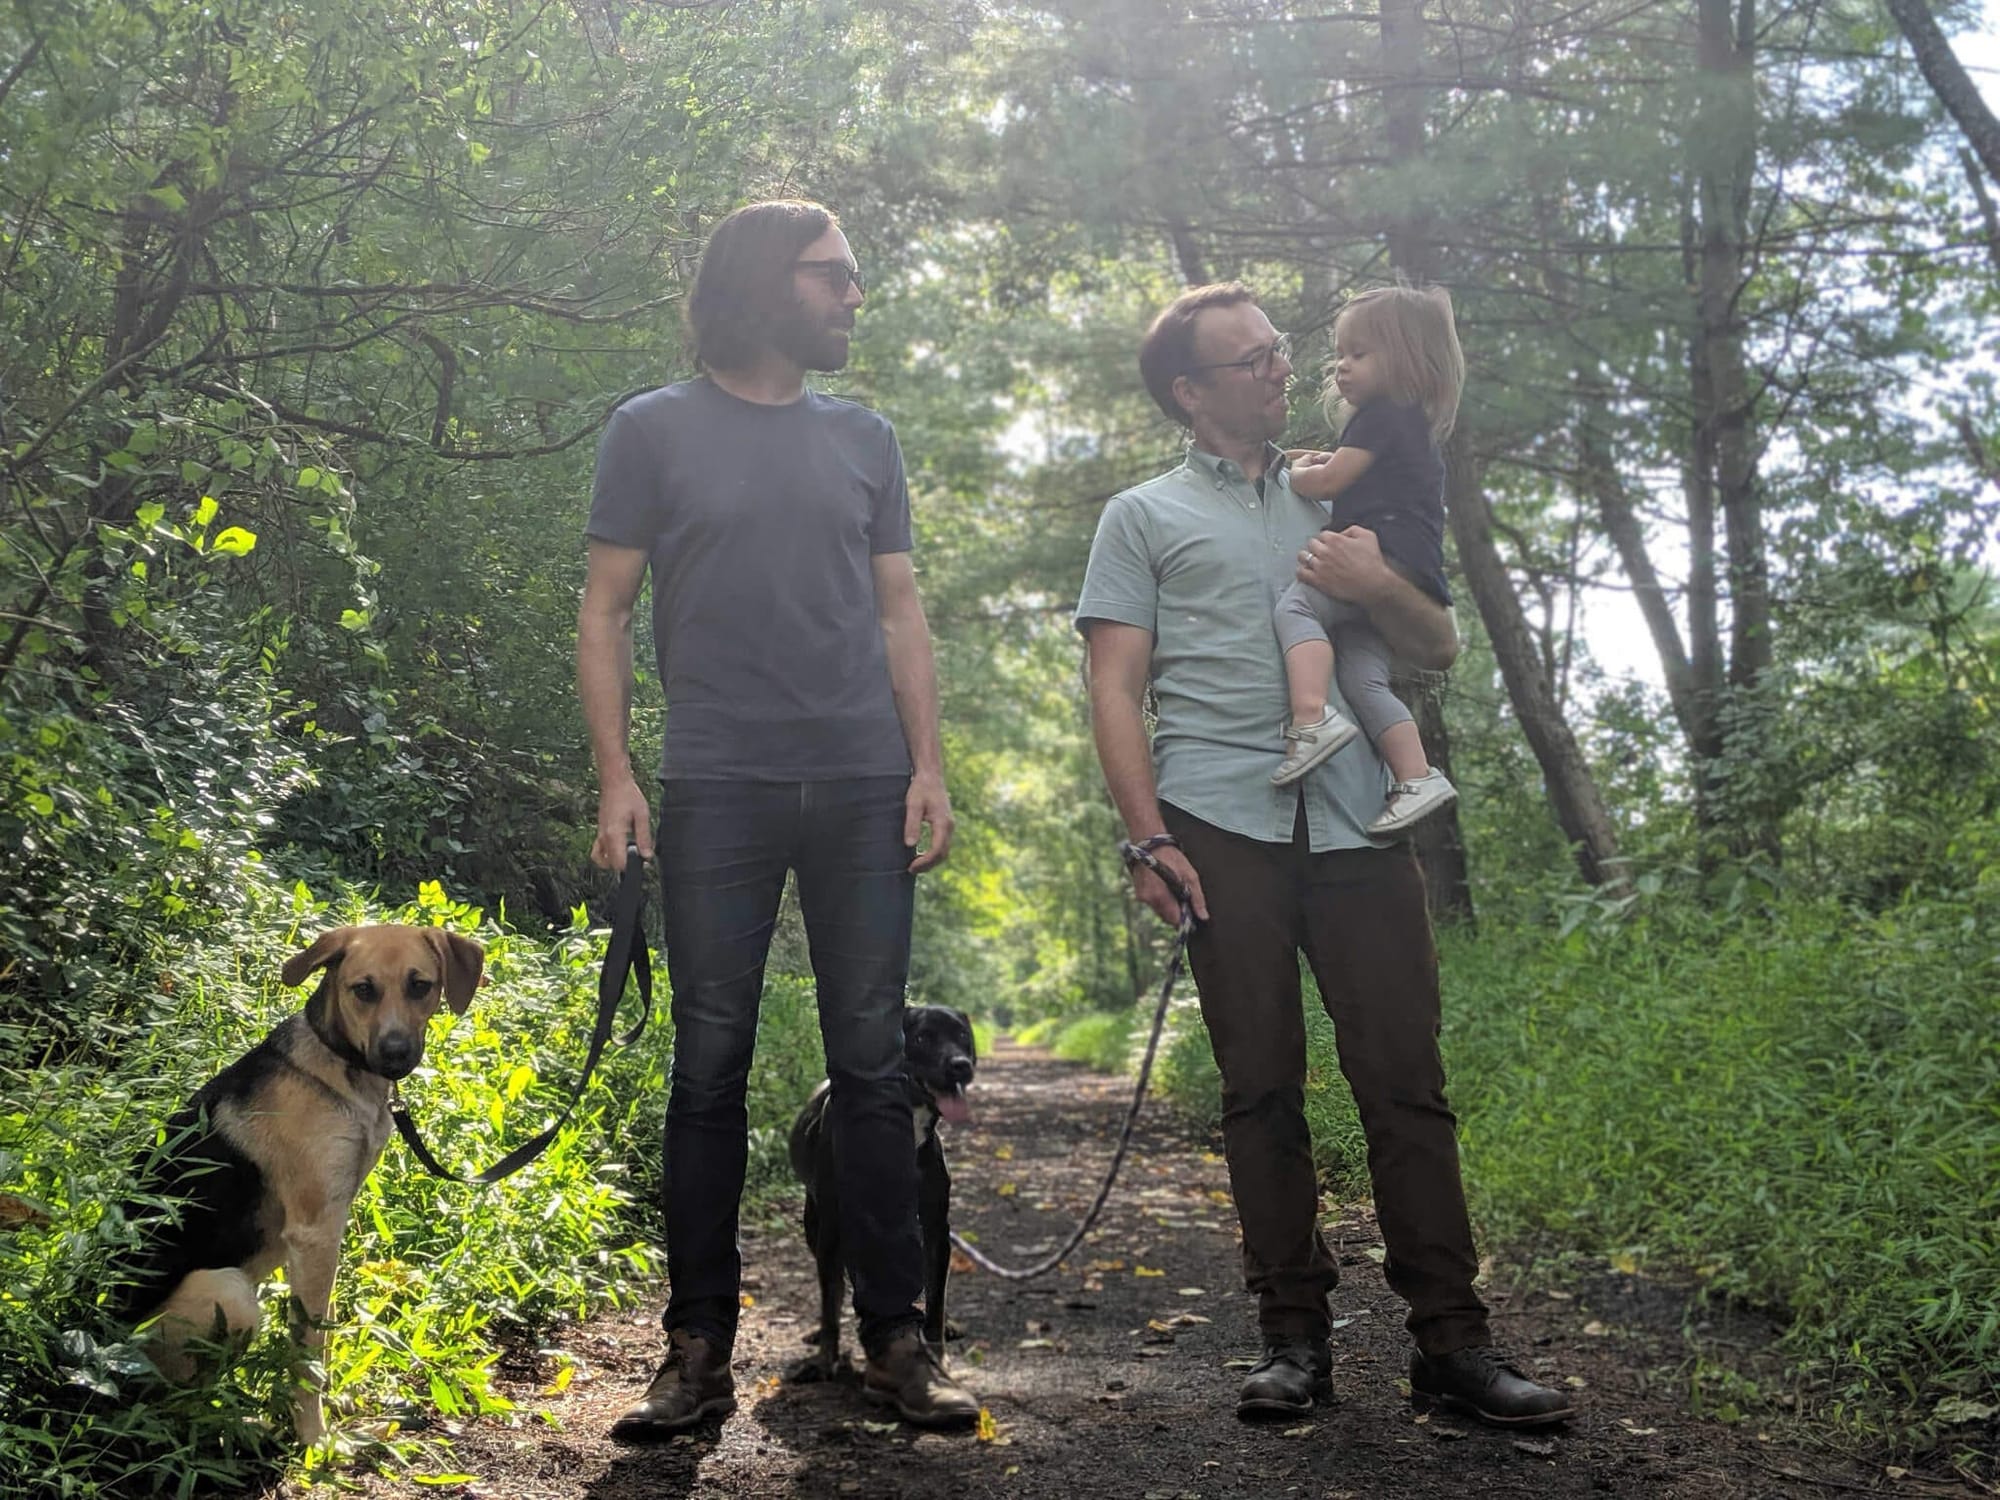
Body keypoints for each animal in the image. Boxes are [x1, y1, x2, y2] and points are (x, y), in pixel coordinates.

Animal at [109, 928, 484, 1448]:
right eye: (362, 989)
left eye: (420, 985)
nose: (394, 1056)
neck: (339, 1065)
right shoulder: (314, 1233)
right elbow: (308, 1349)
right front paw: (316, 1437)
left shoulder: (327, 1229)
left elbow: (323, 1334)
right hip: (228, 1291)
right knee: (168, 1407)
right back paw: (243, 1425)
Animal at [780, 1004, 976, 1384]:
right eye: (922, 1037)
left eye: (962, 1035)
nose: (961, 1065)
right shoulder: (832, 1232)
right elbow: (830, 1302)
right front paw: (825, 1360)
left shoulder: (936, 1227)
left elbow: (937, 1296)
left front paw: (937, 1353)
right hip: (815, 1226)